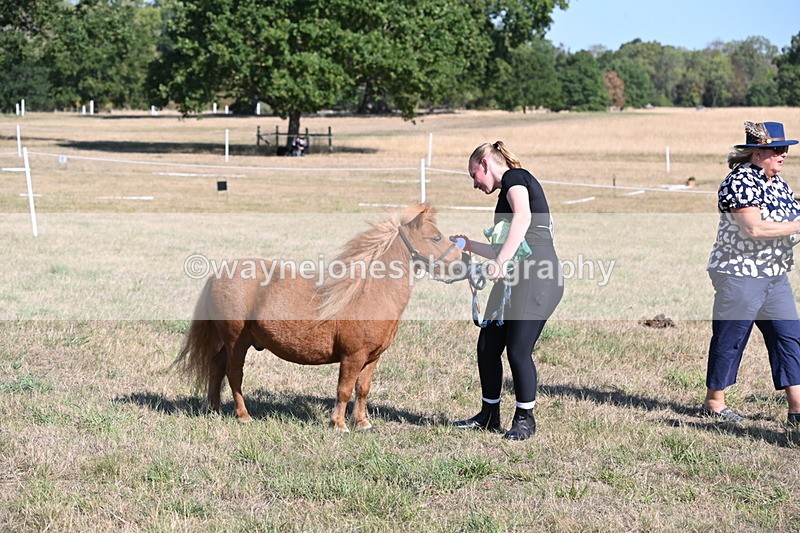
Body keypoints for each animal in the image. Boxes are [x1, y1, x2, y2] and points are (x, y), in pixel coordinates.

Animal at [173, 203, 463, 431]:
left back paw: (213, 408)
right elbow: (344, 389)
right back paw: (243, 415)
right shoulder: (352, 357)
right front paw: (339, 424)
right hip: (237, 341)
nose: (463, 263)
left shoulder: (372, 359)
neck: (367, 292)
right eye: (436, 238)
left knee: (217, 365)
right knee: (234, 373)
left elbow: (362, 389)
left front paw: (362, 423)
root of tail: (218, 274)